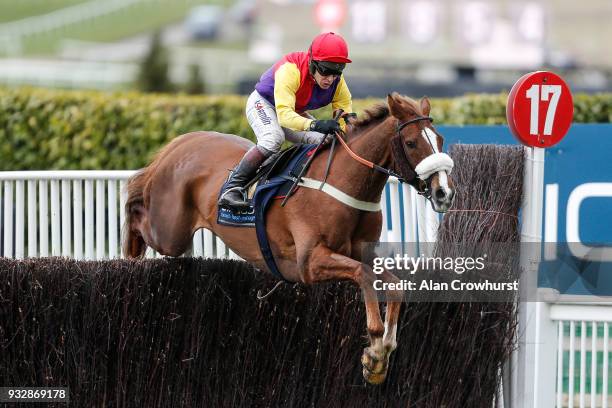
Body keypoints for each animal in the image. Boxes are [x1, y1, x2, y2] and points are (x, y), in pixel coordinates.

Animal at [123, 91, 454, 382]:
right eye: (411, 142)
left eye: (439, 140)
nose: (444, 193)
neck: (343, 183)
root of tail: (183, 141)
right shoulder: (309, 262)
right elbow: (363, 274)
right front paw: (374, 342)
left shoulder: (365, 253)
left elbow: (394, 285)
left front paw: (379, 356)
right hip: (169, 231)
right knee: (137, 211)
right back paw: (130, 256)